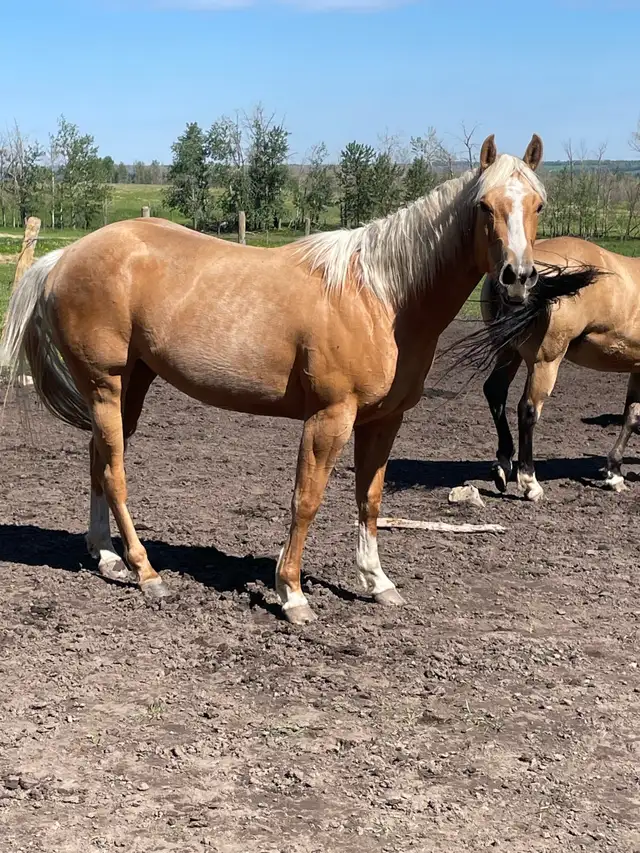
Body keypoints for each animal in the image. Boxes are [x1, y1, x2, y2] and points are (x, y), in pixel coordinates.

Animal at [1, 134, 547, 624]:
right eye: (484, 205)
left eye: (538, 204)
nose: (518, 278)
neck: (381, 297)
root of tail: (63, 257)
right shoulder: (330, 416)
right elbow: (306, 500)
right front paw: (292, 593)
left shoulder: (384, 420)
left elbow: (369, 499)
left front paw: (377, 582)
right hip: (105, 384)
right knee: (114, 472)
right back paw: (145, 571)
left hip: (129, 385)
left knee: (98, 458)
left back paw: (106, 557)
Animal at [479, 235, 640, 501]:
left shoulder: (637, 368)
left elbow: (631, 417)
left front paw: (614, 472)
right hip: (545, 362)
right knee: (528, 410)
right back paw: (529, 482)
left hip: (508, 351)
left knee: (495, 392)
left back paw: (503, 465)